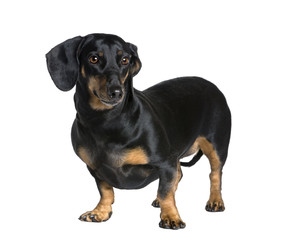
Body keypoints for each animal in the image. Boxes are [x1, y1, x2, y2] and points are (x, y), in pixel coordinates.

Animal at [45, 32, 230, 230]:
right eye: (93, 58)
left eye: (125, 60)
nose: (117, 92)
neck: (106, 122)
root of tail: (211, 84)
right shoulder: (95, 168)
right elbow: (105, 190)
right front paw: (100, 212)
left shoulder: (165, 162)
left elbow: (165, 192)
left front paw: (171, 216)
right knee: (180, 173)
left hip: (216, 146)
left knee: (215, 174)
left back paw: (215, 201)